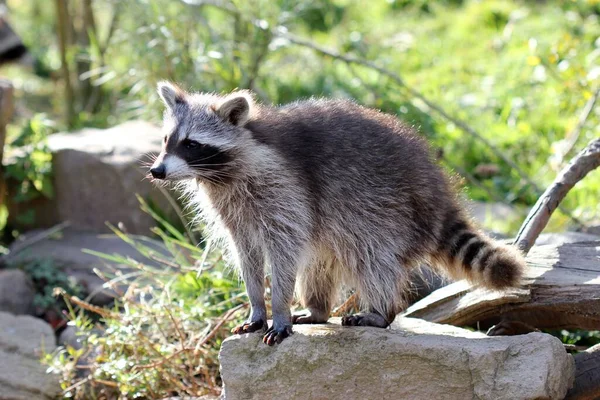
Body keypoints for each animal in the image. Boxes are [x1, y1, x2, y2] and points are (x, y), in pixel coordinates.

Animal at [149, 83, 524, 346]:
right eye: (167, 139)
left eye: (191, 144)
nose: (157, 171)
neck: (223, 173)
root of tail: (437, 187)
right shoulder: (235, 211)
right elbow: (248, 257)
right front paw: (257, 307)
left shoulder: (284, 190)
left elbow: (285, 253)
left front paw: (279, 311)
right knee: (320, 265)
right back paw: (319, 309)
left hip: (385, 208)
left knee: (372, 259)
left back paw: (381, 311)